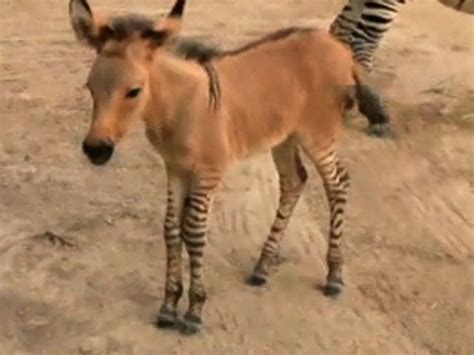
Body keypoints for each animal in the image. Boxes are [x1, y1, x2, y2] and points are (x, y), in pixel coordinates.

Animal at [69, 0, 386, 336]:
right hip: (284, 137)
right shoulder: (175, 169)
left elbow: (194, 231)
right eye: (90, 87)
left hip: (318, 135)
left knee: (338, 183)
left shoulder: (209, 172)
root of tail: (340, 49)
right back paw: (262, 267)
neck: (179, 109)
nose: (95, 150)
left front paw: (194, 311)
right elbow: (171, 229)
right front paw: (168, 307)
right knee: (294, 181)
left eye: (134, 91)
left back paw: (334, 275)